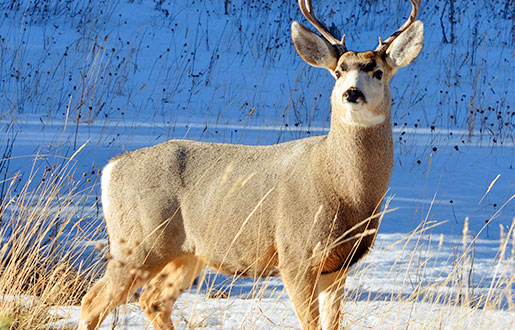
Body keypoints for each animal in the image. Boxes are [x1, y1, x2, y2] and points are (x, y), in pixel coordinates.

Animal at [77, 0, 424, 328]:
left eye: (377, 72)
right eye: (338, 71)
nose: (352, 93)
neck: (345, 192)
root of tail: (112, 168)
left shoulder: (339, 264)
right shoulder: (295, 254)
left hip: (188, 252)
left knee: (152, 300)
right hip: (139, 242)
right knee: (93, 301)